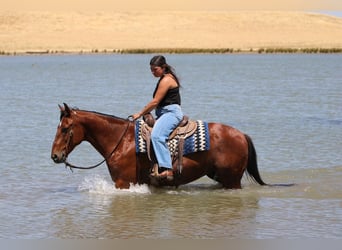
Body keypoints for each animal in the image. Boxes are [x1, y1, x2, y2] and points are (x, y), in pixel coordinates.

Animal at [51, 102, 270, 188]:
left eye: (65, 128)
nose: (55, 156)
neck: (120, 140)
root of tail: (241, 135)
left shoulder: (123, 183)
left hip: (232, 180)